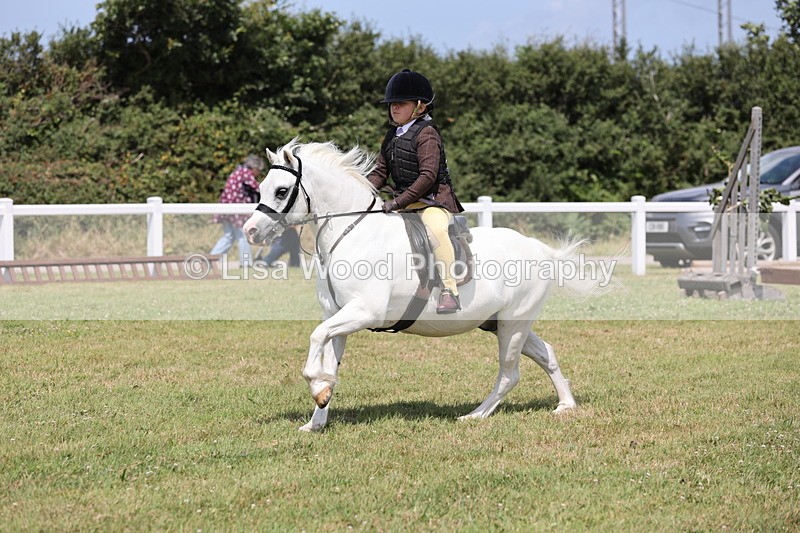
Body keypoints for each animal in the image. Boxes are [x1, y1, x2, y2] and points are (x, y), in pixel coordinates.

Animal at [243, 139, 612, 431]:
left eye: (281, 191)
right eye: (261, 189)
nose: (251, 231)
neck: (352, 234)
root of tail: (539, 248)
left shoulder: (364, 312)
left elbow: (315, 338)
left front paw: (319, 389)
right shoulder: (338, 316)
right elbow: (327, 356)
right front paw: (318, 415)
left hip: (513, 323)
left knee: (510, 372)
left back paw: (475, 415)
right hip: (500, 322)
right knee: (545, 353)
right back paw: (565, 406)